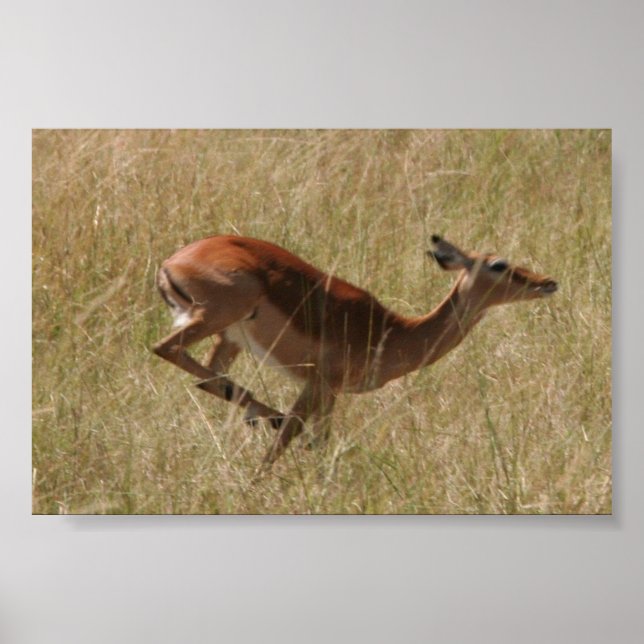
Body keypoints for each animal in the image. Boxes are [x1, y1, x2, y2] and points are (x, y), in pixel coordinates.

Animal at [152, 234, 557, 468]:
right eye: (499, 264)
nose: (547, 282)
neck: (393, 332)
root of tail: (172, 263)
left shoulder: (330, 394)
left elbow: (320, 441)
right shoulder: (319, 385)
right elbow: (288, 439)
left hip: (229, 336)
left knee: (208, 379)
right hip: (219, 315)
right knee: (163, 349)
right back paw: (266, 415)